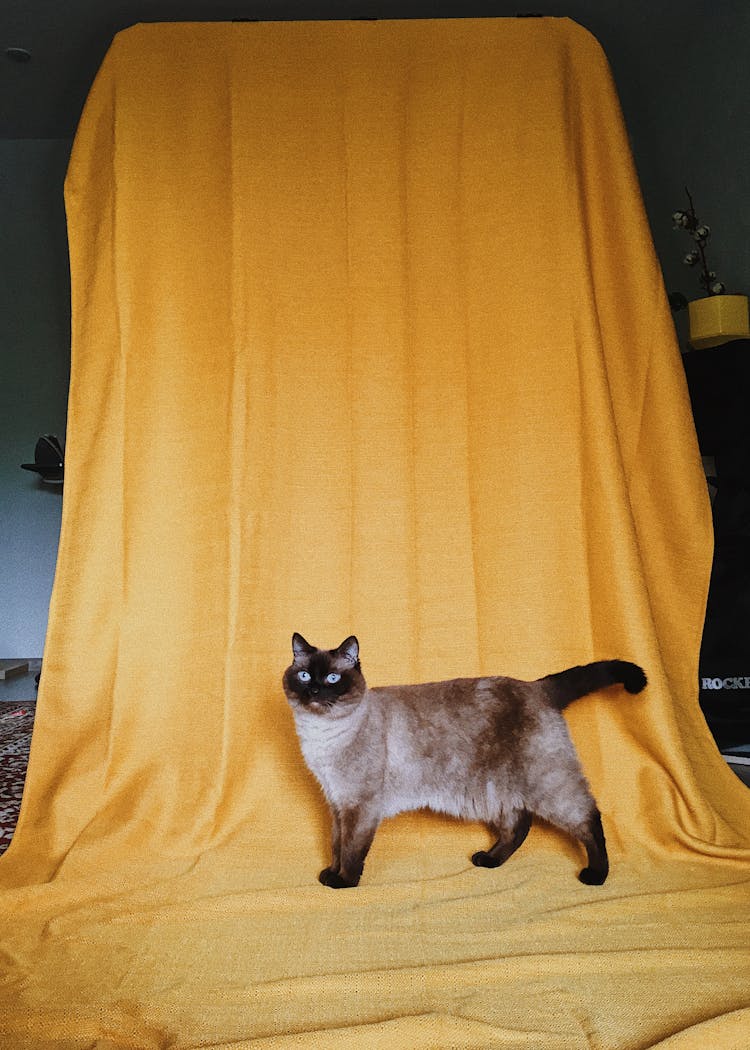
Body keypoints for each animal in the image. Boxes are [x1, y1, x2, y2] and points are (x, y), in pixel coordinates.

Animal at [281, 634, 642, 890]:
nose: (314, 691)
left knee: (588, 817)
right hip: (496, 789)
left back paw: (596, 875)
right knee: (519, 824)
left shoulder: (359, 805)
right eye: (304, 675)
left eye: (332, 679)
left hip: (546, 783)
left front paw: (343, 882)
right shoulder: (338, 803)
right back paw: (490, 861)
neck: (321, 736)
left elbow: (351, 850)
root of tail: (537, 686)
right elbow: (336, 844)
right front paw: (330, 873)